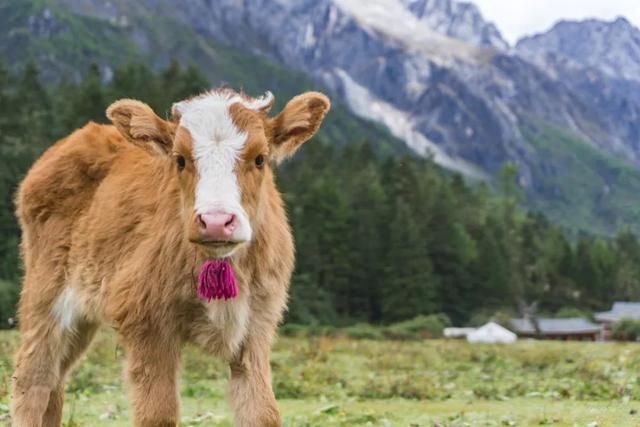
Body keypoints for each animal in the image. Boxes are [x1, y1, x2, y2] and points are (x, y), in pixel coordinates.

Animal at [10, 88, 330, 426]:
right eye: (179, 159)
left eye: (260, 158)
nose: (216, 221)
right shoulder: (145, 321)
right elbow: (158, 414)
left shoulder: (257, 326)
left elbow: (262, 412)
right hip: (45, 293)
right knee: (33, 381)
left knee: (55, 384)